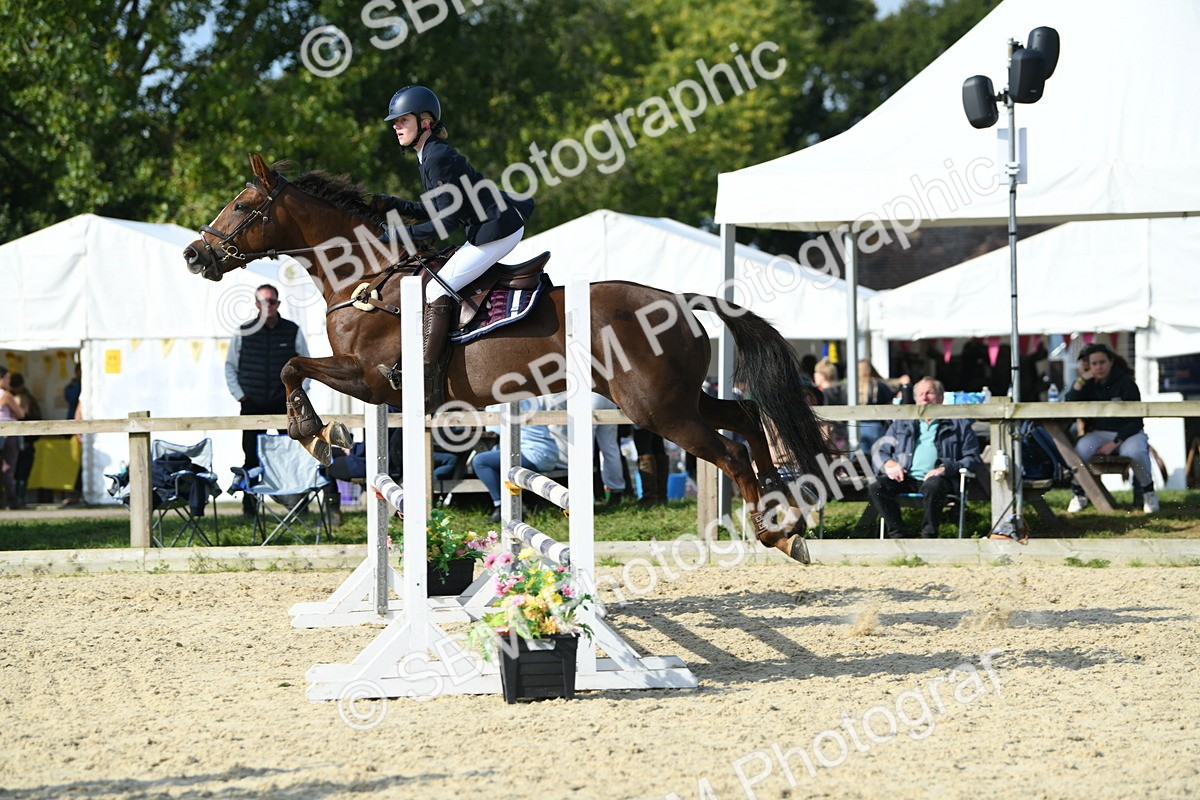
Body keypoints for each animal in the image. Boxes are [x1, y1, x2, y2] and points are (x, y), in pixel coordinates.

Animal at [183, 154, 829, 562]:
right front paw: (321, 433)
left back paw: (777, 533)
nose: (194, 255)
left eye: (242, 205)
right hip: (677, 398)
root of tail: (679, 298)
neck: (365, 279)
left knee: (731, 451)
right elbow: (296, 369)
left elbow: (292, 368)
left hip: (657, 411)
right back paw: (788, 518)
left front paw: (316, 433)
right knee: (746, 417)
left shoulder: (375, 381)